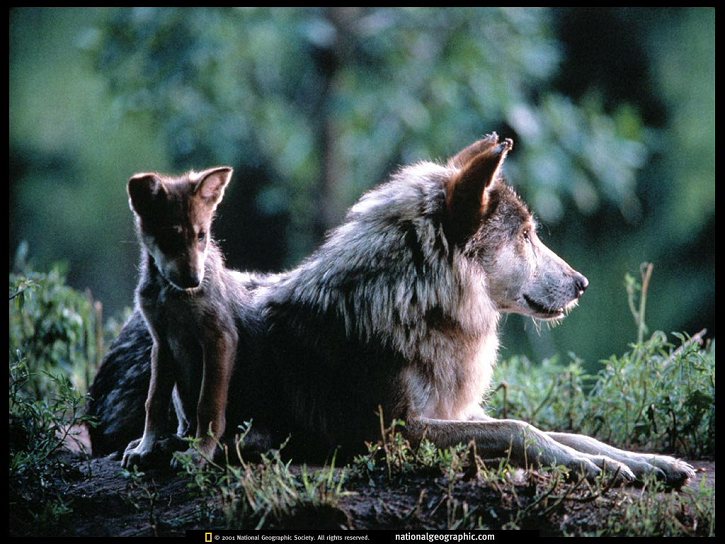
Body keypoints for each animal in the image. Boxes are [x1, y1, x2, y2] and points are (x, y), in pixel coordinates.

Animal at [87, 134, 692, 486]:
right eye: (525, 236)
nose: (583, 284)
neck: (415, 306)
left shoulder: (453, 412)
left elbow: (567, 433)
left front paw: (644, 463)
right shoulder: (394, 433)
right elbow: (521, 430)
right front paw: (598, 468)